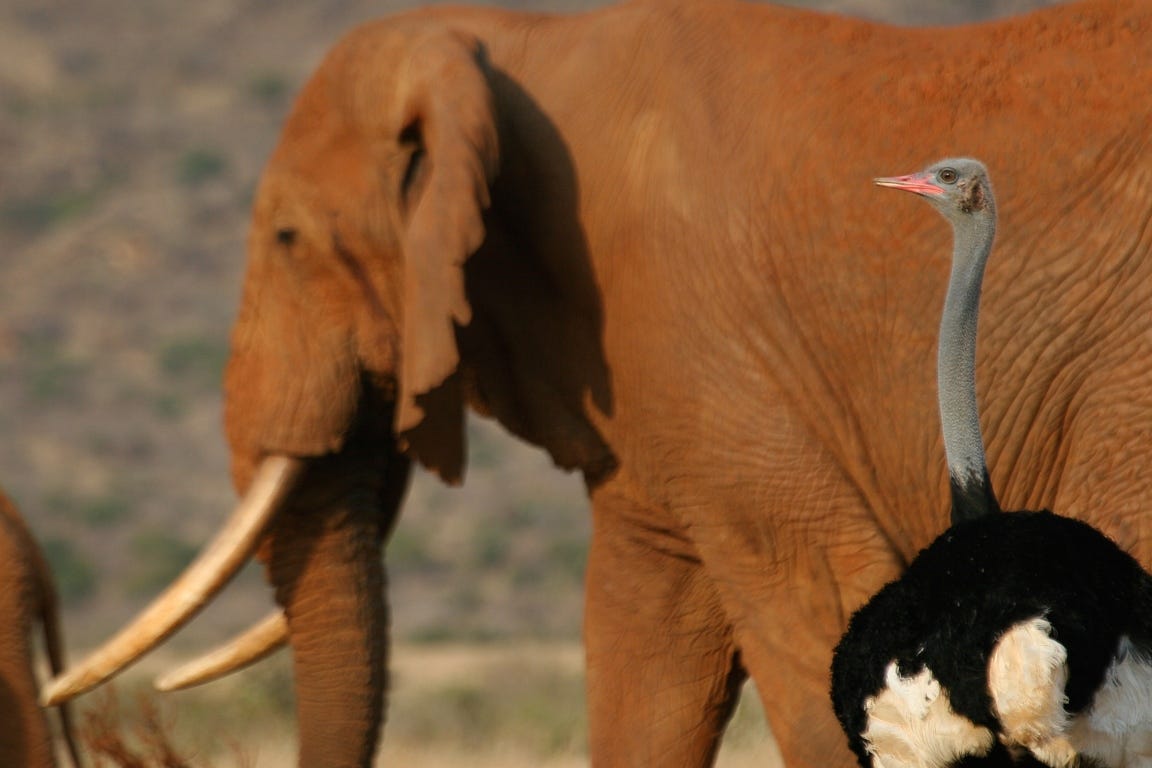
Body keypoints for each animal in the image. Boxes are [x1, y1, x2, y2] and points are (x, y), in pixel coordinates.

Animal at [49, 1, 1152, 768]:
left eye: (285, 238)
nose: (899, 181)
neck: (518, 40)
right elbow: (644, 651)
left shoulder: (704, 344)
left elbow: (804, 619)